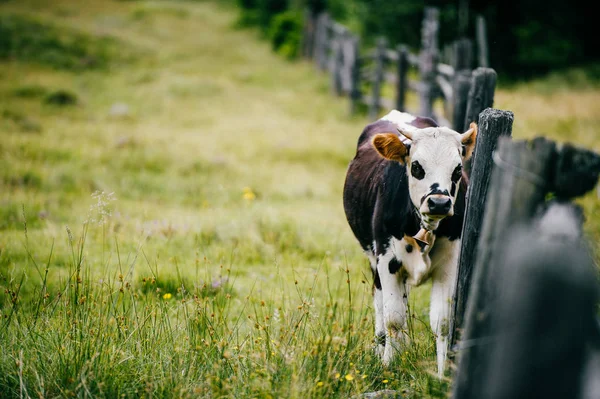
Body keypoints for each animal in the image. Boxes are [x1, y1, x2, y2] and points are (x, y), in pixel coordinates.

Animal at [344, 110, 476, 378]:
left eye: (457, 170)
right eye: (416, 167)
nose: (439, 203)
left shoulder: (449, 266)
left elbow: (442, 322)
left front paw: (442, 374)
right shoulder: (387, 262)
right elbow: (393, 318)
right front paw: (388, 366)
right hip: (374, 262)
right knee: (381, 306)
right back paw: (382, 347)